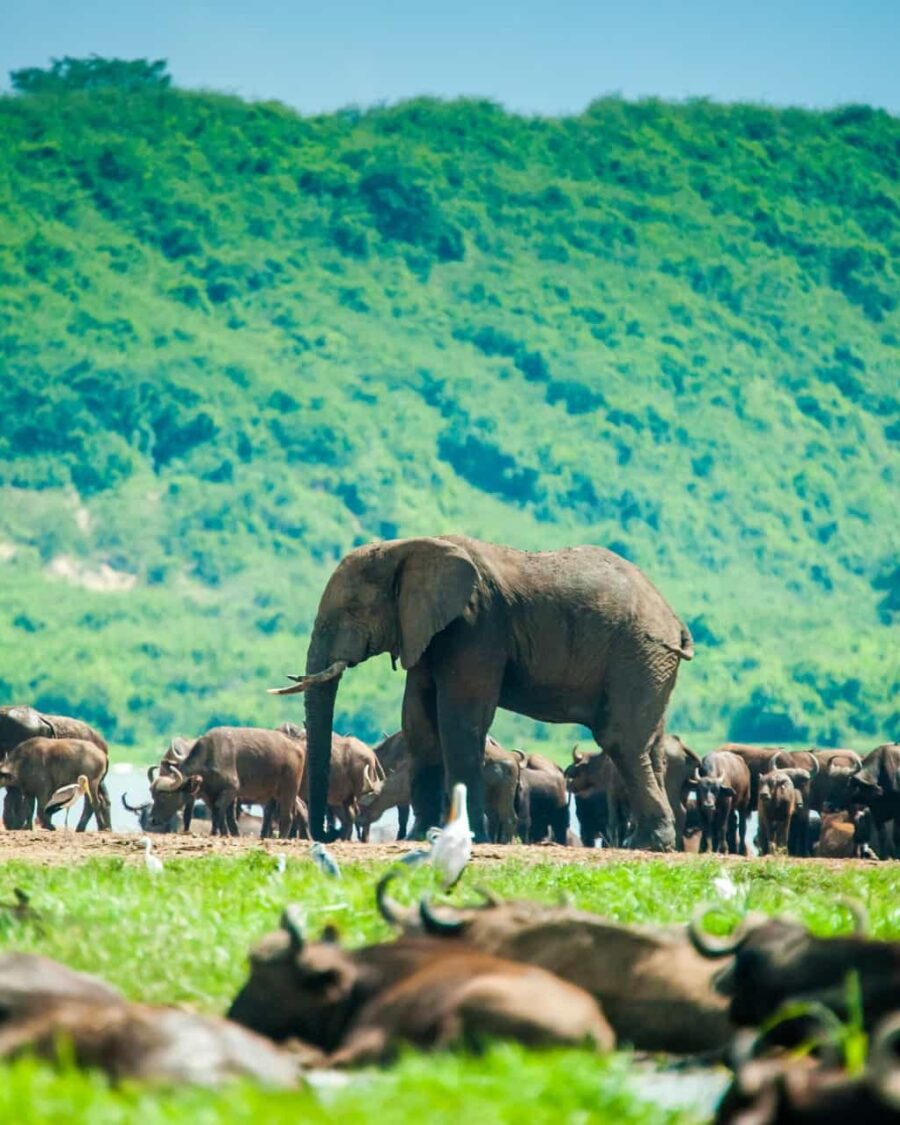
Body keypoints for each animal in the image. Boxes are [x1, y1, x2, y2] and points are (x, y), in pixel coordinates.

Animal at [271, 536, 693, 850]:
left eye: (354, 607)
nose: (325, 836)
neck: (406, 548)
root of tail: (674, 620)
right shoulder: (426, 633)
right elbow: (419, 723)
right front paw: (421, 836)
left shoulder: (475, 626)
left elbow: (460, 719)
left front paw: (467, 837)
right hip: (649, 661)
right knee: (649, 744)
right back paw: (648, 843)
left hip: (638, 652)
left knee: (620, 739)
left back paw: (650, 843)